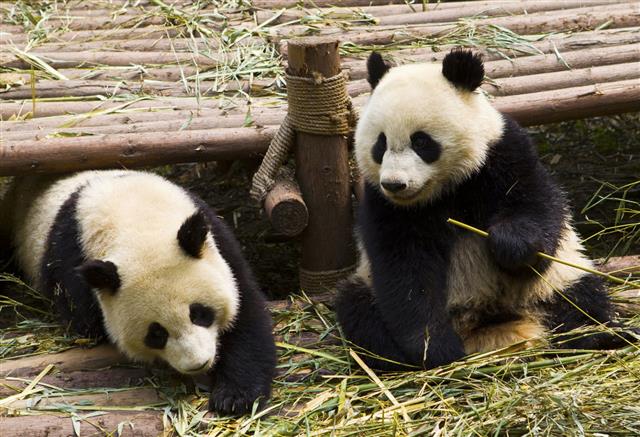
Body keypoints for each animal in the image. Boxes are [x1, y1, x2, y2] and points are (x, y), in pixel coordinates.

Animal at [1, 170, 276, 414]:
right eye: (156, 333)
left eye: (199, 313)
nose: (198, 363)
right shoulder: (69, 258)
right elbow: (85, 323)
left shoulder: (217, 241)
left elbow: (246, 312)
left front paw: (234, 397)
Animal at [335, 48, 637, 371]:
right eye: (380, 145)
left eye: (421, 141)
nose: (395, 184)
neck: (445, 190)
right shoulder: (384, 206)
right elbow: (405, 273)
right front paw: (435, 349)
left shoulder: (503, 153)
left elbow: (537, 208)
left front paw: (510, 245)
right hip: (366, 287)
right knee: (359, 313)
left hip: (556, 279)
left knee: (580, 301)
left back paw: (601, 336)